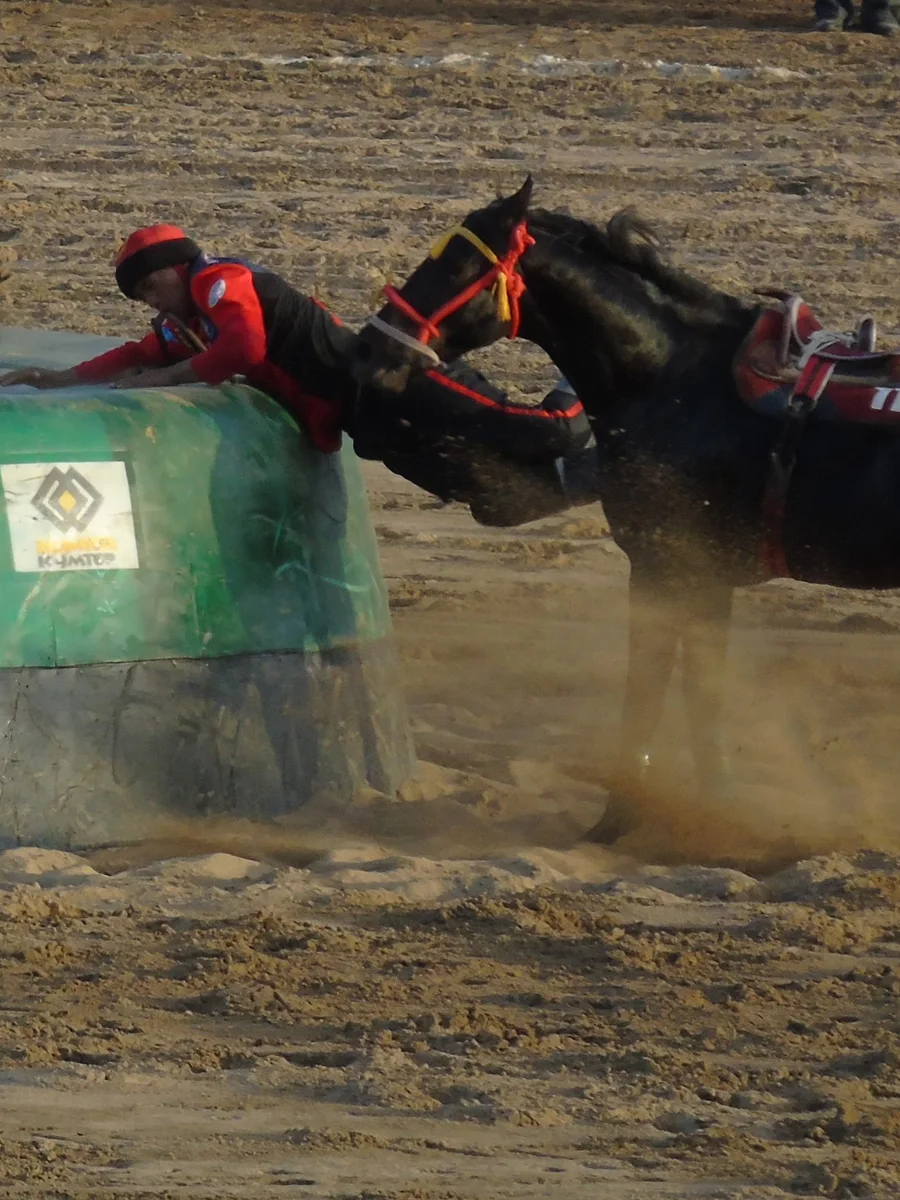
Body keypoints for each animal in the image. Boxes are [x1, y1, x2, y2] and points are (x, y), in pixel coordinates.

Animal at [352, 176, 900, 842]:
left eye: (456, 265)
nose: (369, 349)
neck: (675, 378)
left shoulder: (665, 567)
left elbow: (651, 692)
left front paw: (618, 820)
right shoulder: (704, 578)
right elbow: (701, 695)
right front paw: (714, 808)